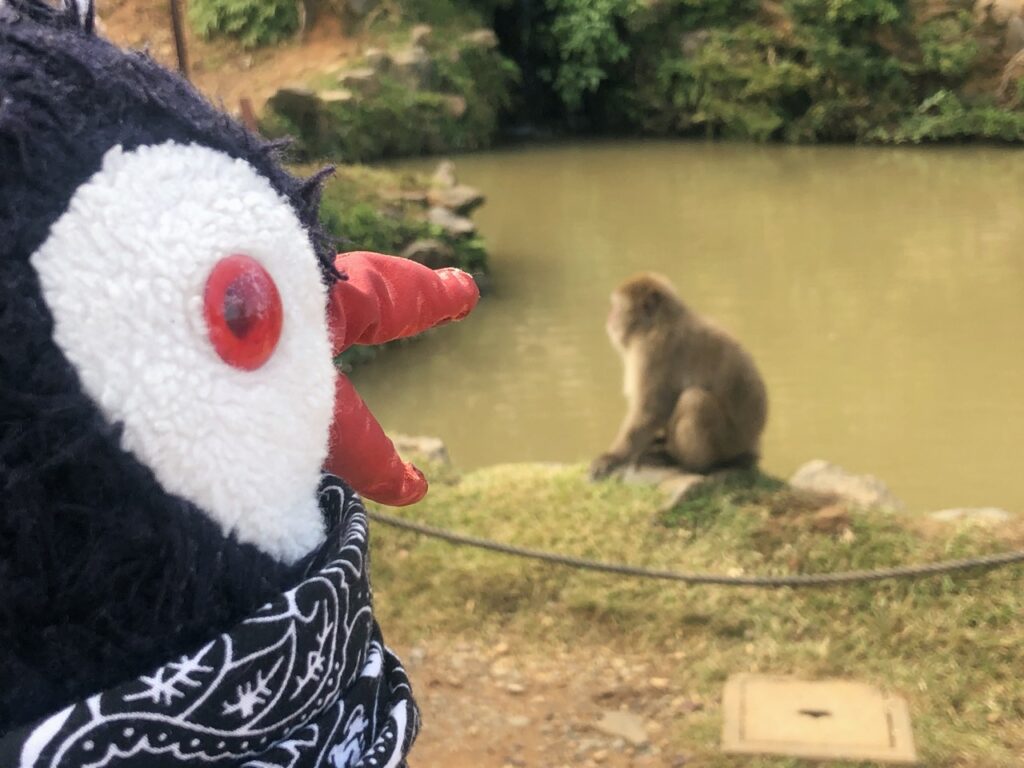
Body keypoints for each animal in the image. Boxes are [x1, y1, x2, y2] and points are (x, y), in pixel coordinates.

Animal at [589, 273, 768, 480]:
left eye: (617, 308)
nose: (610, 318)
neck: (659, 322)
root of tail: (753, 446)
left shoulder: (653, 350)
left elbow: (652, 410)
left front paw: (612, 457)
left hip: (729, 444)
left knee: (694, 400)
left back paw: (688, 463)